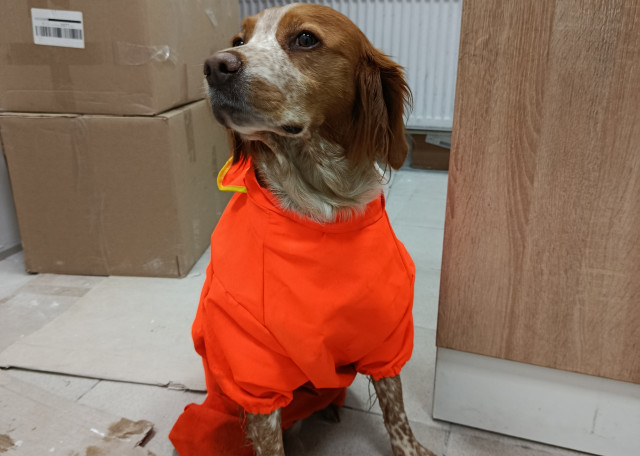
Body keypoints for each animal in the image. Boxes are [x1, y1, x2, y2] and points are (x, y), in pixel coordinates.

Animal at [169, 3, 435, 456]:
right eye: (239, 40)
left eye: (306, 39)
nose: (215, 66)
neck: (322, 209)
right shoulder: (256, 373)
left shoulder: (388, 333)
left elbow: (395, 410)